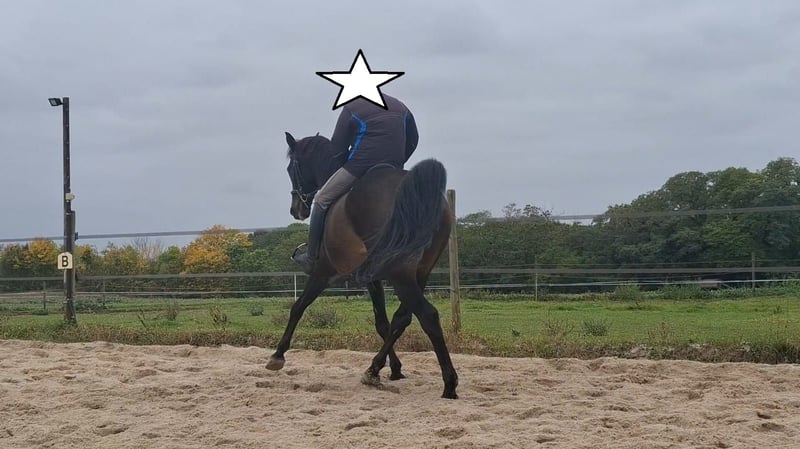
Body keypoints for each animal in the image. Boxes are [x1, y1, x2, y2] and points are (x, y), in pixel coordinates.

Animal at [265, 131, 459, 399]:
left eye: (291, 167)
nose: (296, 210)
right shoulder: (373, 278)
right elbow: (383, 323)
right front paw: (395, 369)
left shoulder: (323, 272)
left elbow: (298, 307)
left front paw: (278, 355)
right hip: (419, 272)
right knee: (404, 317)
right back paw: (374, 369)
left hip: (400, 274)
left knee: (428, 315)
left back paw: (448, 383)